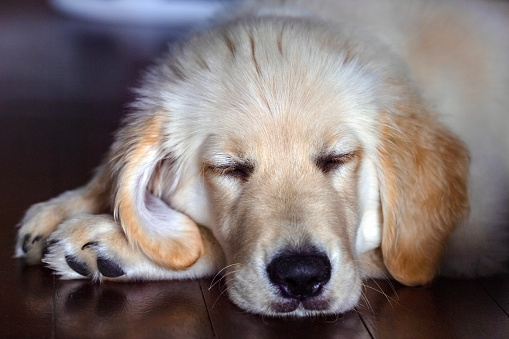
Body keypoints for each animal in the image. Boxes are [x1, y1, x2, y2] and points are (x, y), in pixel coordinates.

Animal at [13, 0, 506, 318]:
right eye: (229, 168)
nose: (302, 277)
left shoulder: (470, 242)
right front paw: (68, 206)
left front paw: (113, 242)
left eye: (337, 159)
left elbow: (211, 247)